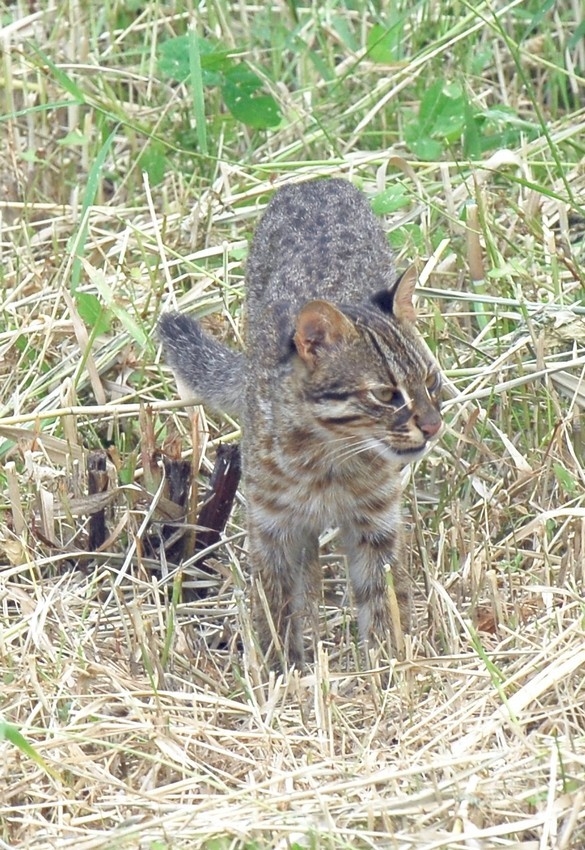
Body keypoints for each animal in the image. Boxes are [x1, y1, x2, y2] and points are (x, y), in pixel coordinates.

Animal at [158, 178, 442, 669]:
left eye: (429, 380)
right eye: (386, 395)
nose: (432, 426)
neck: (331, 455)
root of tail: (317, 181)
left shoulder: (377, 521)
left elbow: (382, 598)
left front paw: (389, 668)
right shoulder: (270, 524)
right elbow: (276, 603)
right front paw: (283, 668)